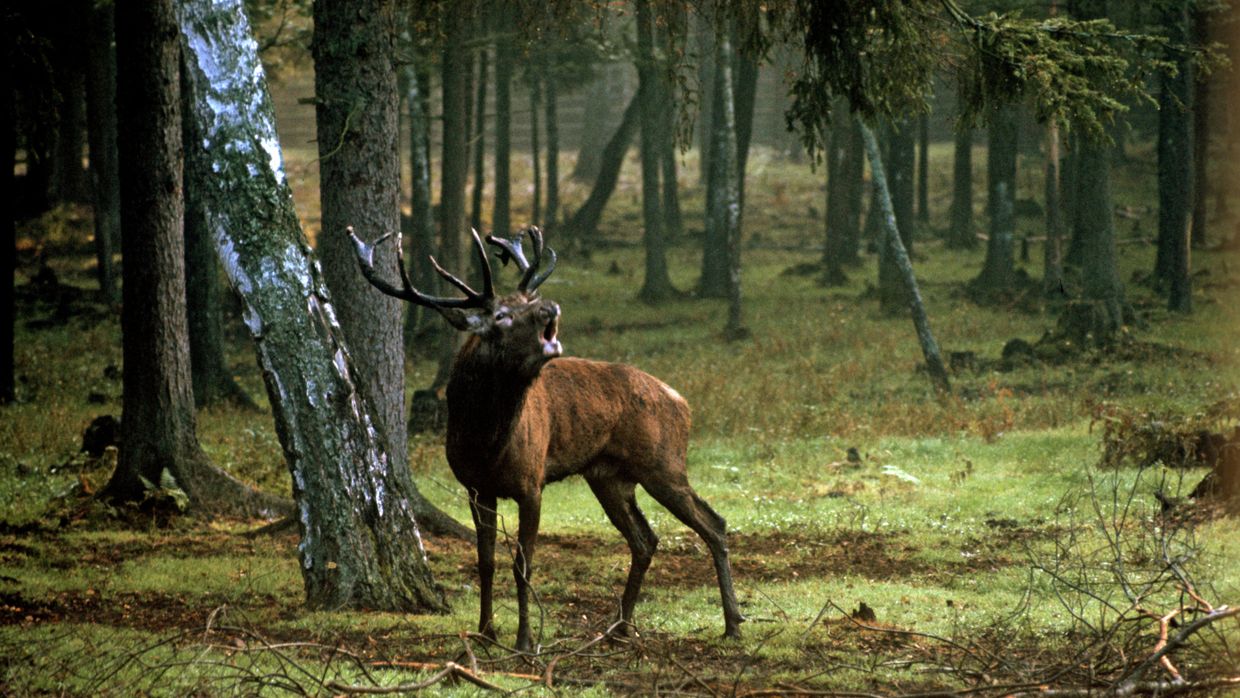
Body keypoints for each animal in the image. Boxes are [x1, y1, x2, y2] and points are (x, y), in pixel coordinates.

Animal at [346, 225, 743, 652]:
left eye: (529, 301)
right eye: (500, 315)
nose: (548, 307)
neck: (486, 443)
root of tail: (682, 401)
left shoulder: (531, 482)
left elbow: (523, 563)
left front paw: (524, 640)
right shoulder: (475, 488)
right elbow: (485, 561)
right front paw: (485, 633)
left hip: (663, 463)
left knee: (713, 523)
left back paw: (733, 624)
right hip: (609, 476)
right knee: (645, 539)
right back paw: (619, 628)